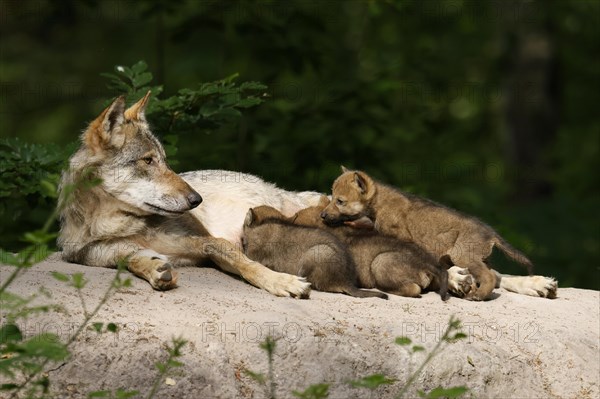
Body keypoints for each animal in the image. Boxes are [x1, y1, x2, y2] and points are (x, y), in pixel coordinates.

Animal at [56, 91, 322, 296]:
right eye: (148, 160)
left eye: (165, 160)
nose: (197, 199)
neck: (117, 225)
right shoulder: (96, 254)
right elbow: (131, 259)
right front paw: (155, 269)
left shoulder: (209, 242)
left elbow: (246, 264)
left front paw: (281, 281)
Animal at [322, 167, 560, 302]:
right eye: (331, 196)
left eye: (340, 201)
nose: (323, 215)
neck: (379, 203)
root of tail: (491, 233)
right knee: (492, 276)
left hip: (464, 256)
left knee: (490, 277)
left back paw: (477, 295)